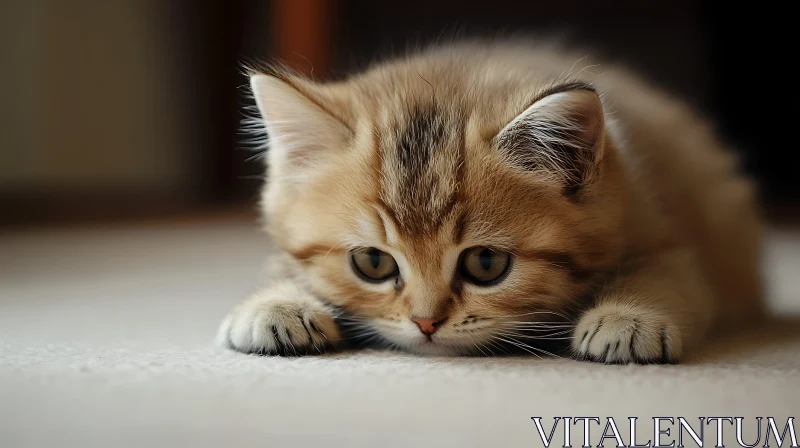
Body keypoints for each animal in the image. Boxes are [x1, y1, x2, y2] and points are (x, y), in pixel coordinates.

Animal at [214, 40, 764, 364]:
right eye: (371, 262)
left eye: (485, 263)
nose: (426, 323)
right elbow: (282, 264)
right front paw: (276, 302)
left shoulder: (667, 231)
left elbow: (671, 274)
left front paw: (628, 318)